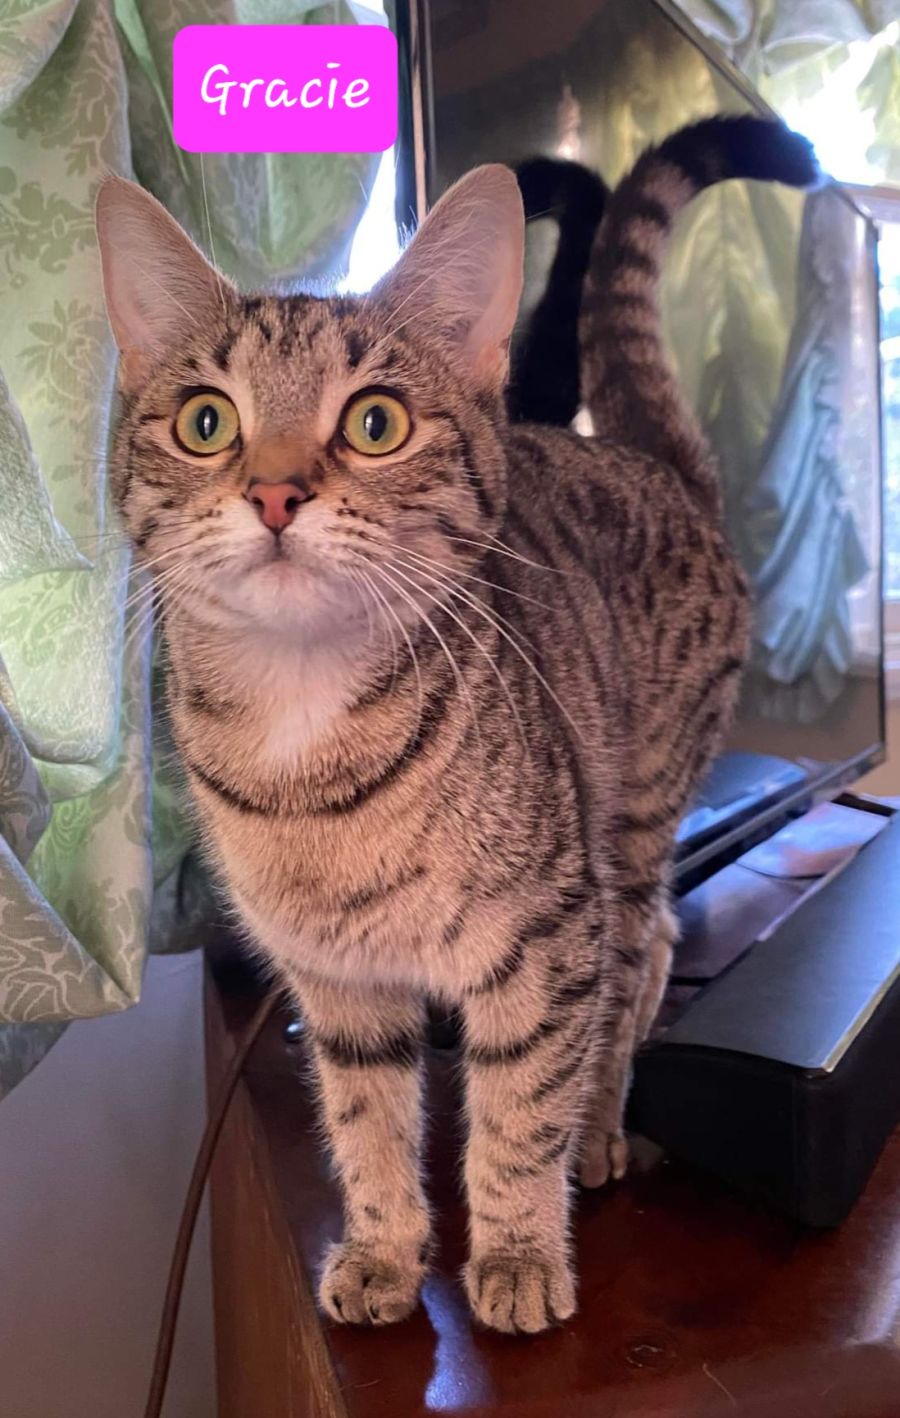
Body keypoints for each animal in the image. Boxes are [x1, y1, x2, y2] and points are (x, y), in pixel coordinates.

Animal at [96, 114, 816, 1335]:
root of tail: (654, 462)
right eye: (205, 421)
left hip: (629, 824)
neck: (305, 744)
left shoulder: (547, 935)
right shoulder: (333, 981)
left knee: (642, 953)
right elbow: (365, 1120)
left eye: (375, 421)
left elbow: (519, 1104)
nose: (275, 491)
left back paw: (600, 1126)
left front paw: (519, 1248)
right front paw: (387, 1248)